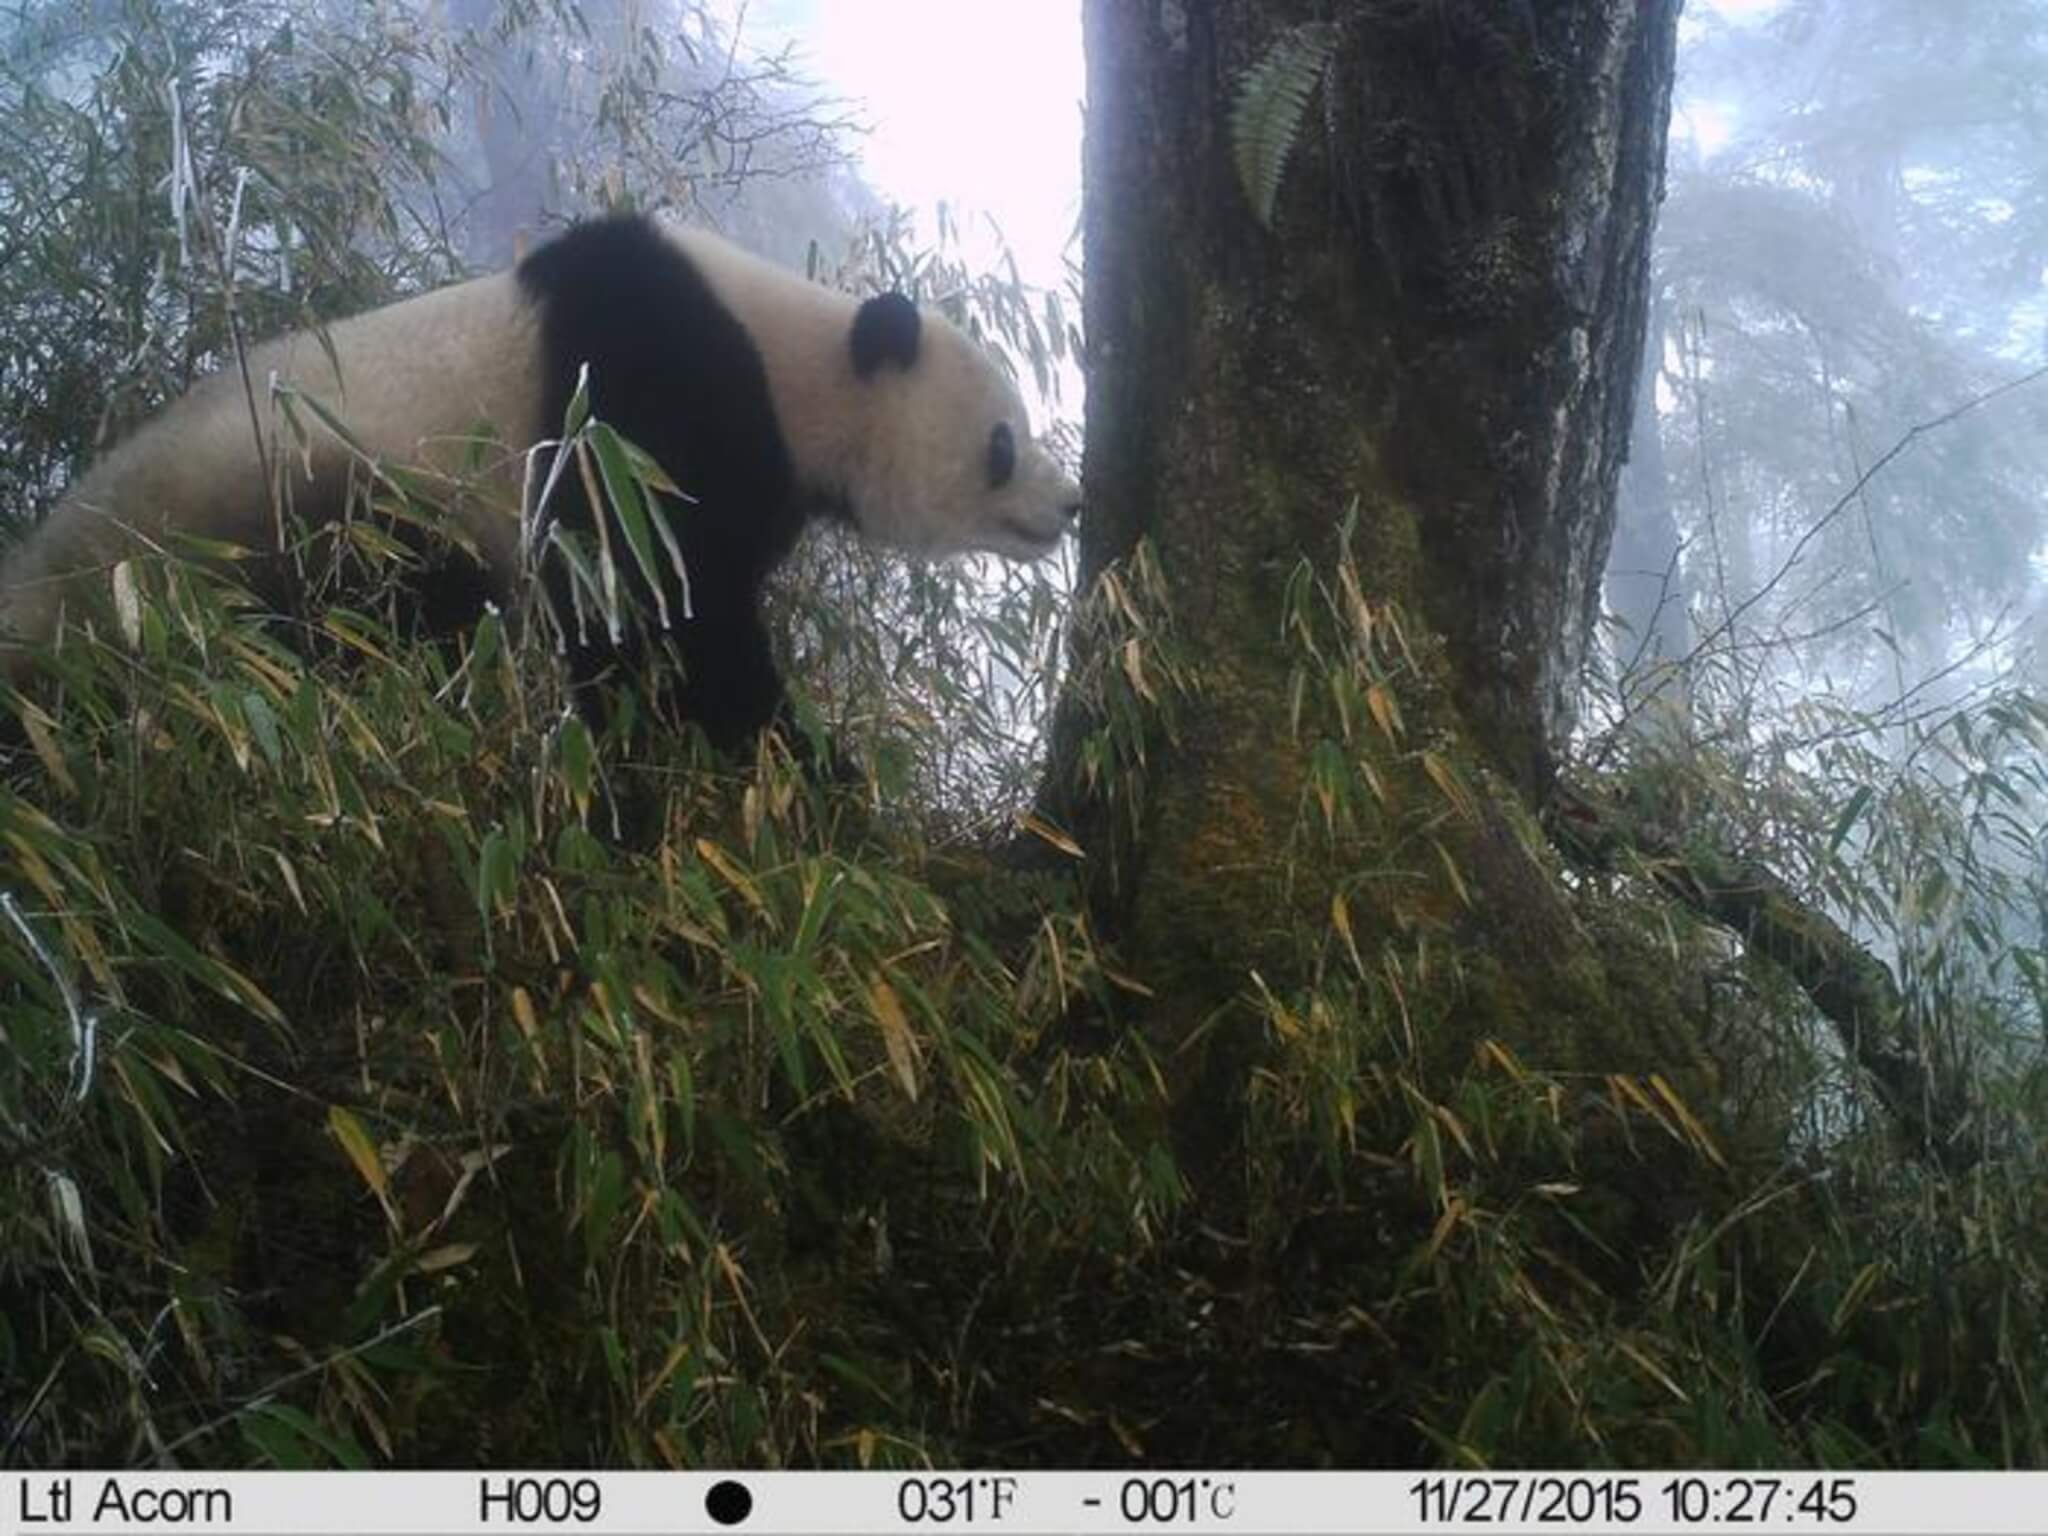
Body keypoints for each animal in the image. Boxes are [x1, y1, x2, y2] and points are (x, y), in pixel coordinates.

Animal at [0, 215, 1080, 749]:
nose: (1068, 503)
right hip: (295, 511)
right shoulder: (645, 405)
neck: (794, 361)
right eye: (1001, 442)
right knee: (375, 620)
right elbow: (651, 613)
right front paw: (796, 762)